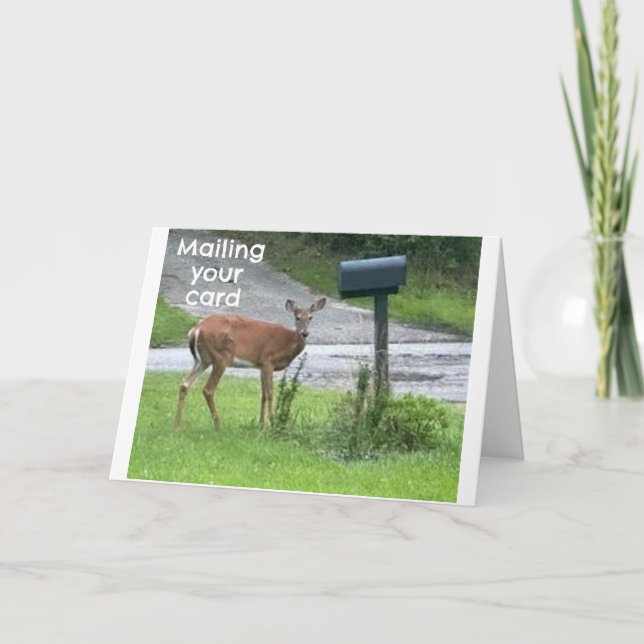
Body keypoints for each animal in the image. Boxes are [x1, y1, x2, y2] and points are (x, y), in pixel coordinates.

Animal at [173, 297, 326, 431]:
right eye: (297, 317)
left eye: (311, 317)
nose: (305, 333)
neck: (287, 343)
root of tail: (196, 330)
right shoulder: (268, 360)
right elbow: (270, 393)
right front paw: (272, 424)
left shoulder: (261, 365)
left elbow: (263, 395)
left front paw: (261, 426)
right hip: (221, 357)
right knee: (208, 389)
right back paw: (218, 426)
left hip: (203, 360)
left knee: (184, 384)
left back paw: (177, 426)